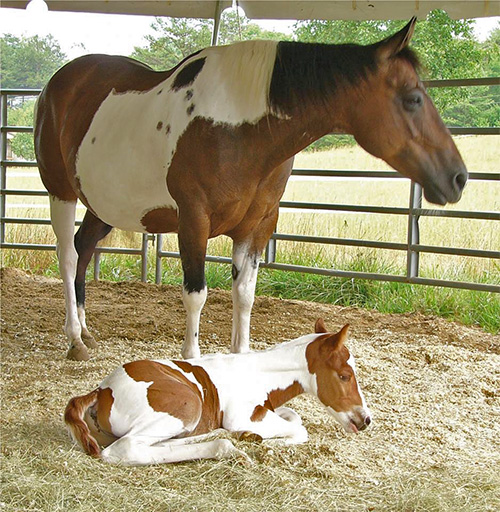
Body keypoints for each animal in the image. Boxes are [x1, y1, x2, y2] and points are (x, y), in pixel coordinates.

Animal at [36, 17, 468, 360]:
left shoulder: (258, 225)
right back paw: (75, 340)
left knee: (84, 247)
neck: (238, 127)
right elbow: (196, 294)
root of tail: (57, 84)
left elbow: (244, 293)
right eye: (413, 99)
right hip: (62, 193)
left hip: (104, 203)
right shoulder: (193, 221)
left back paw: (87, 330)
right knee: (68, 255)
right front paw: (191, 362)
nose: (458, 178)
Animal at [64, 320, 372, 464]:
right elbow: (299, 429)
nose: (365, 419)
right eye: (345, 375)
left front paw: (252, 436)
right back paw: (227, 447)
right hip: (188, 404)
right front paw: (261, 440)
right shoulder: (244, 415)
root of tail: (102, 391)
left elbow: (293, 416)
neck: (258, 373)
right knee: (127, 448)